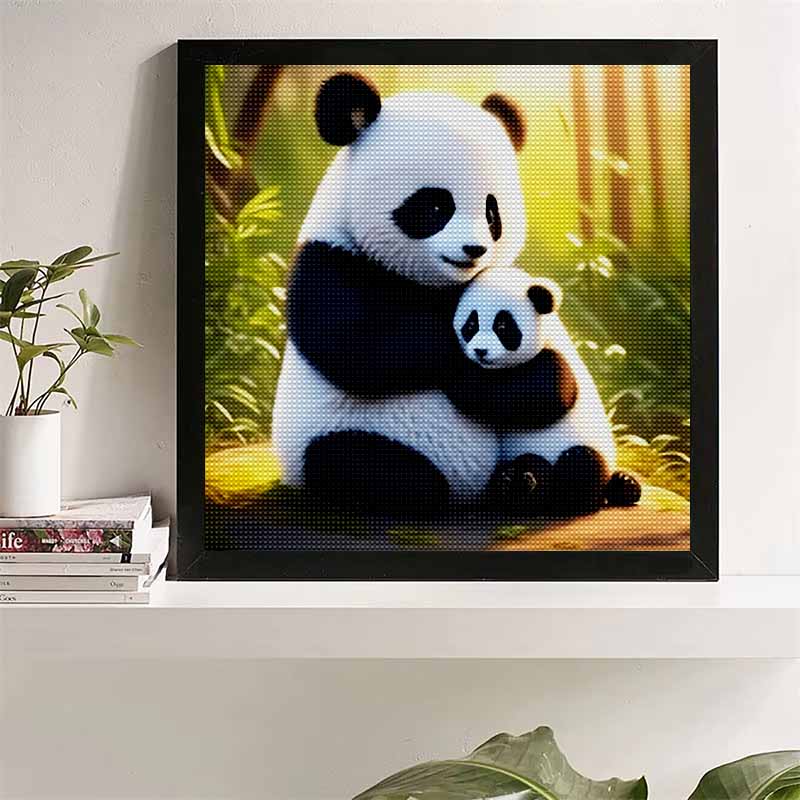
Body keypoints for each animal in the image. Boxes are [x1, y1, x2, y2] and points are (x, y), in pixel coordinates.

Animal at [271, 73, 529, 510]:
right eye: (436, 207)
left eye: (493, 212)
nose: (474, 249)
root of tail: (468, 490)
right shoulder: (328, 260)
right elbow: (358, 349)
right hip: (335, 439)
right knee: (356, 463)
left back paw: (522, 482)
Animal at [449, 266, 641, 513]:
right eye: (471, 325)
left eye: (502, 327)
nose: (480, 351)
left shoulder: (557, 363)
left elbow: (542, 397)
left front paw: (457, 373)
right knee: (531, 466)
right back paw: (516, 485)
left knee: (581, 462)